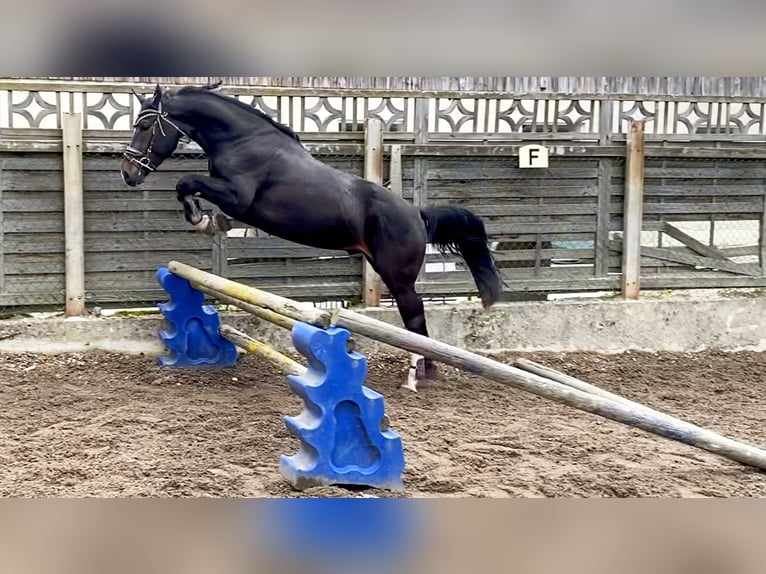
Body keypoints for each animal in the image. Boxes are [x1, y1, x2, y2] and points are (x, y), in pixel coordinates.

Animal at [121, 84, 504, 392]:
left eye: (144, 126)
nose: (129, 173)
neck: (243, 142)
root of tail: (417, 214)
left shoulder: (238, 197)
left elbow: (185, 182)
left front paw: (203, 220)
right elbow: (191, 189)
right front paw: (210, 220)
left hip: (398, 277)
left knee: (415, 319)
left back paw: (416, 376)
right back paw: (426, 373)